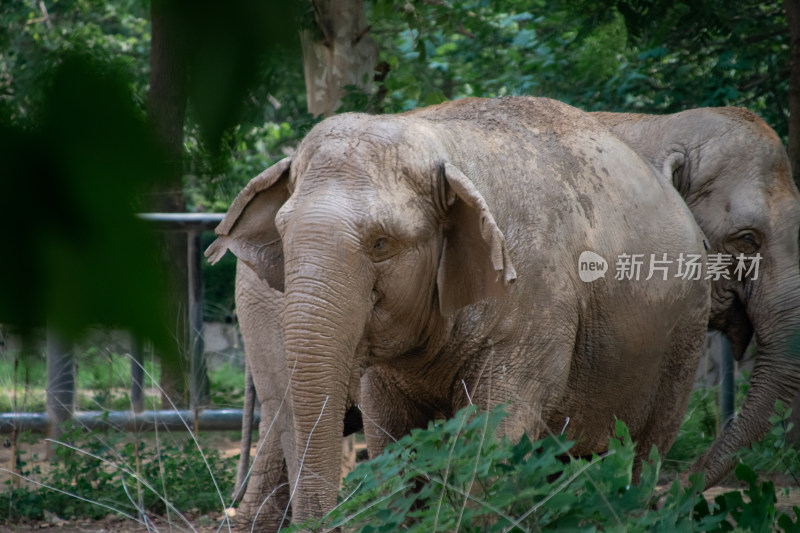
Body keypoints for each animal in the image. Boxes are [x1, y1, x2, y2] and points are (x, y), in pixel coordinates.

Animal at [208, 96, 712, 524]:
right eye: (283, 234)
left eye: (381, 244)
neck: (438, 139)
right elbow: (390, 439)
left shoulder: (534, 305)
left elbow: (492, 437)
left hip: (685, 333)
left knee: (646, 450)